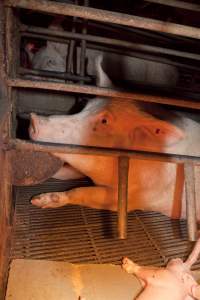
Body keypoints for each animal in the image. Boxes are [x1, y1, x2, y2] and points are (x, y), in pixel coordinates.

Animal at [29, 58, 200, 220]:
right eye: (85, 106)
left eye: (104, 121)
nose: (33, 119)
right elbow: (66, 173)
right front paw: (36, 197)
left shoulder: (134, 197)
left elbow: (82, 192)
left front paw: (38, 201)